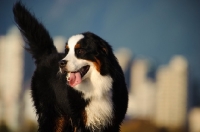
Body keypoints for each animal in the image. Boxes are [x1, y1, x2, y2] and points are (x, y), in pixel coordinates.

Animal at [12, 1, 128, 131]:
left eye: (80, 51)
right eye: (67, 51)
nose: (61, 63)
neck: (96, 86)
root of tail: (48, 55)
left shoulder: (113, 122)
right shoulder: (81, 121)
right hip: (52, 117)